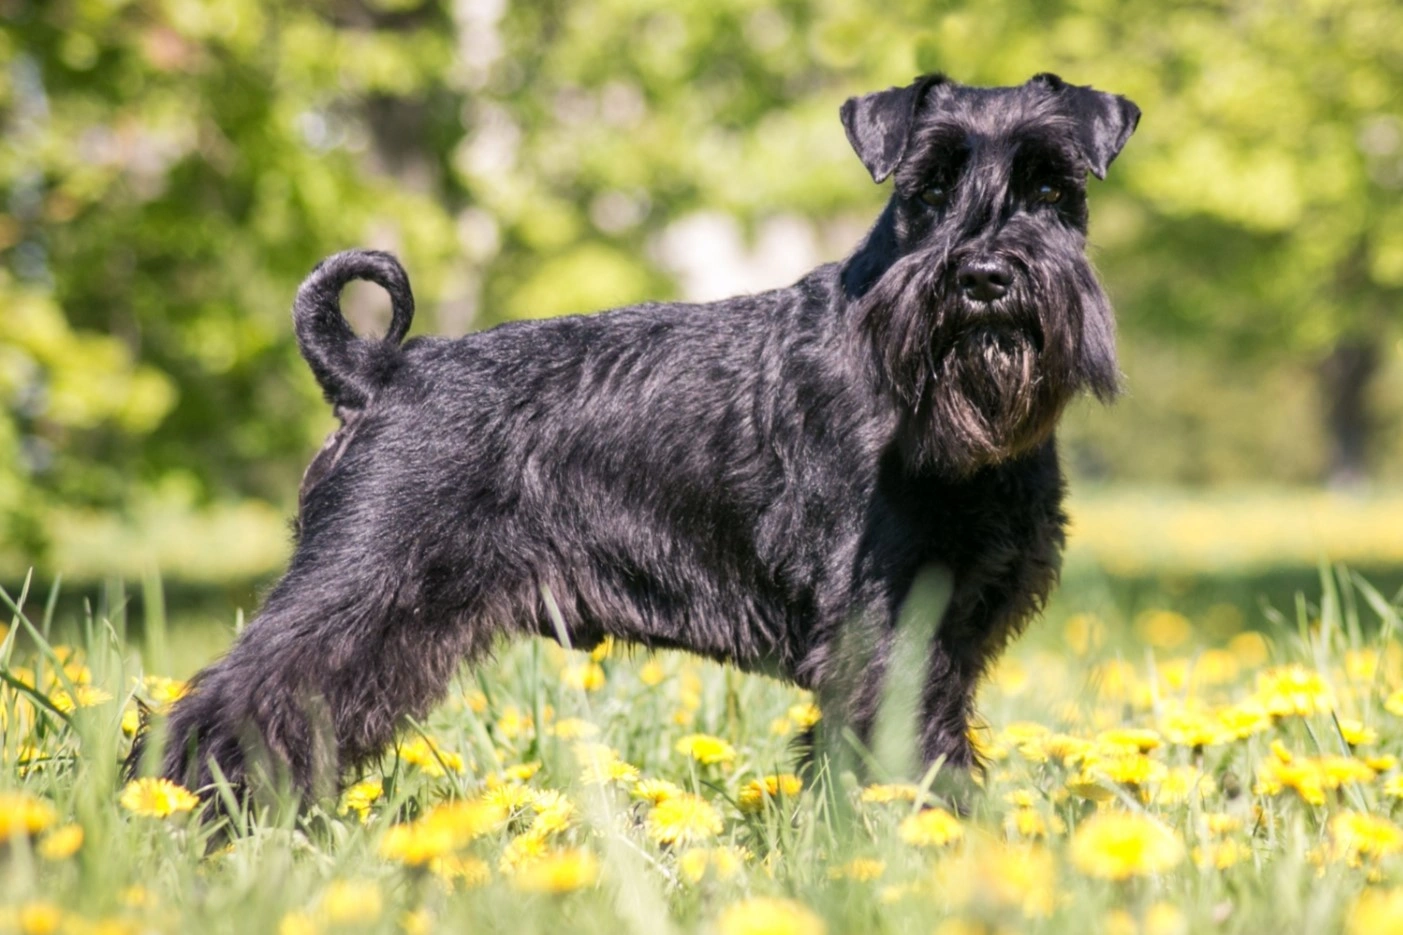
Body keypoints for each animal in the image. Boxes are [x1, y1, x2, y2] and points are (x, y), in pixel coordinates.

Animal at [136, 74, 1139, 803]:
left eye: (1050, 186)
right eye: (927, 188)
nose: (984, 276)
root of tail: (377, 371)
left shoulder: (951, 633)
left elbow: (932, 744)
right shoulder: (883, 628)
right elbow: (903, 756)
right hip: (359, 585)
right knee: (232, 699)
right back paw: (192, 813)